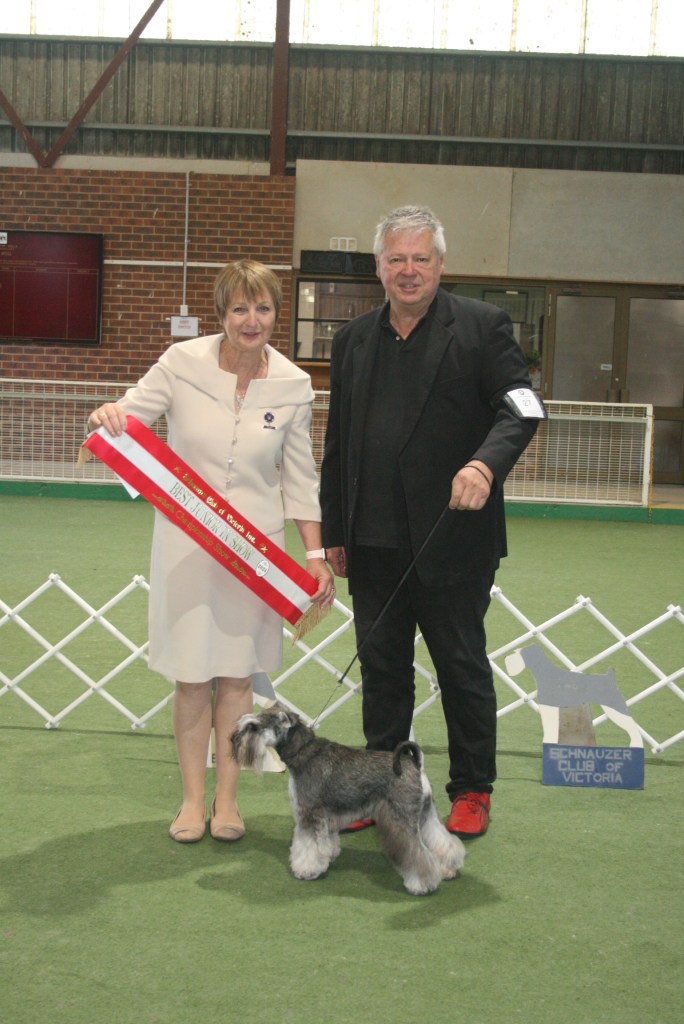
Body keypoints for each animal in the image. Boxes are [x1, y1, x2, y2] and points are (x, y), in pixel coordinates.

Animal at [231, 705, 465, 895]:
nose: (233, 739)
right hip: (426, 814)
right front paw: (328, 857)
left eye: (253, 726)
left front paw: (306, 870)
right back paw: (448, 869)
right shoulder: (326, 816)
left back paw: (423, 884)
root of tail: (415, 764)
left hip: (402, 820)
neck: (302, 752)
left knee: (417, 853)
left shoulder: (308, 813)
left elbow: (307, 845)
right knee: (442, 840)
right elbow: (326, 841)